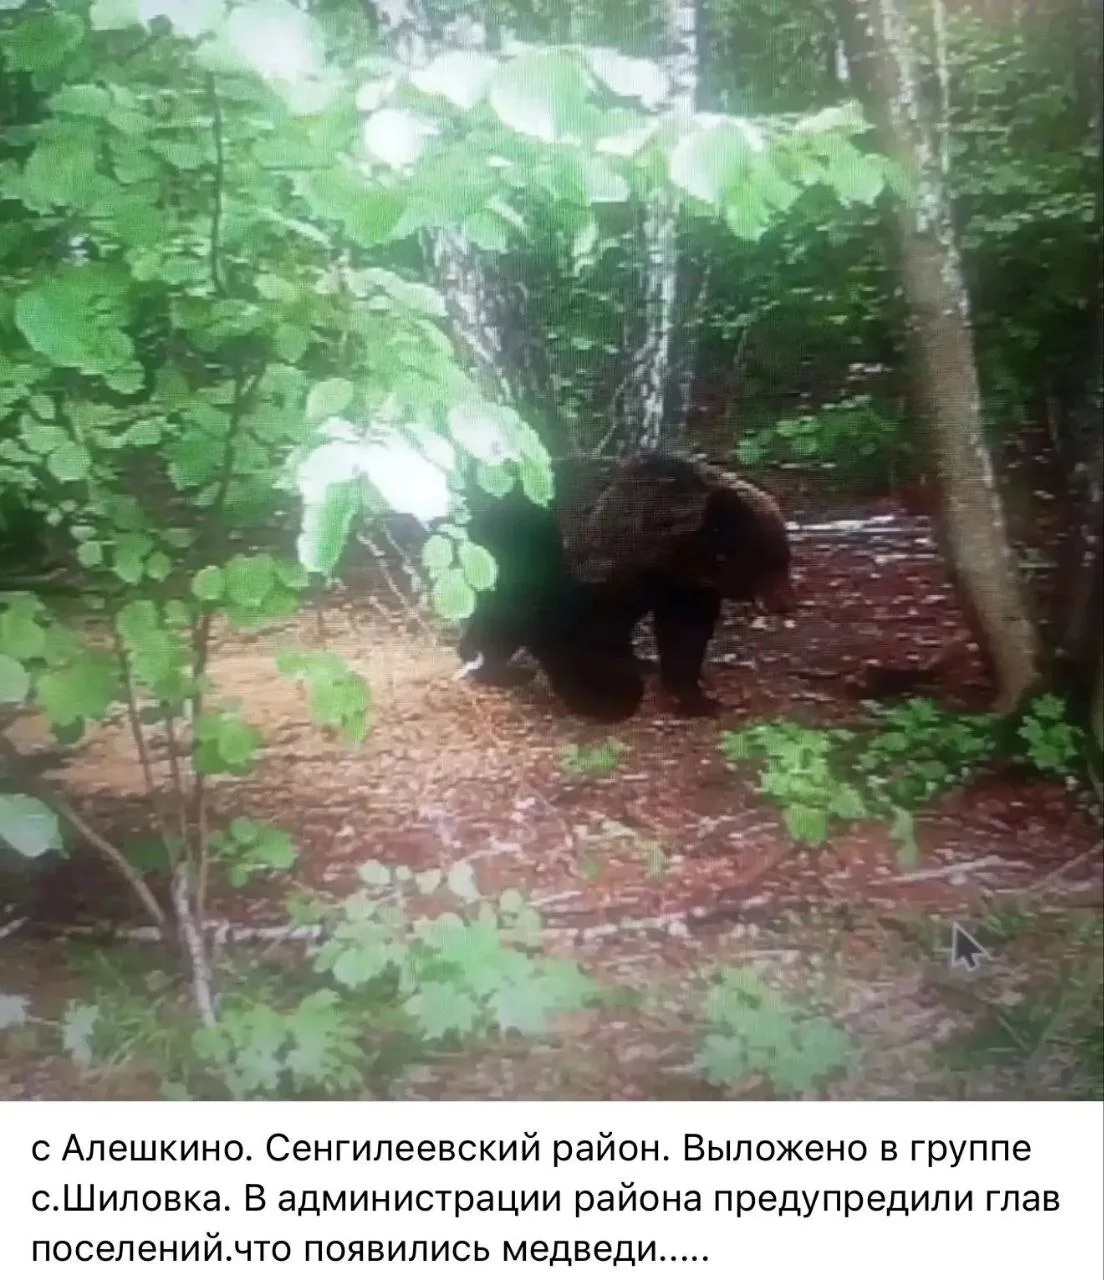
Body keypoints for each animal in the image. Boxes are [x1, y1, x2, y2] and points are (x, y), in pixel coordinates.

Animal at [457, 452, 795, 721]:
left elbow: (685, 636)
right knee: (503, 616)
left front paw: (694, 698)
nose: (785, 602)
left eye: (784, 557)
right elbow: (574, 638)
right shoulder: (587, 579)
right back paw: (494, 667)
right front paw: (603, 697)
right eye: (771, 561)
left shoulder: (681, 589)